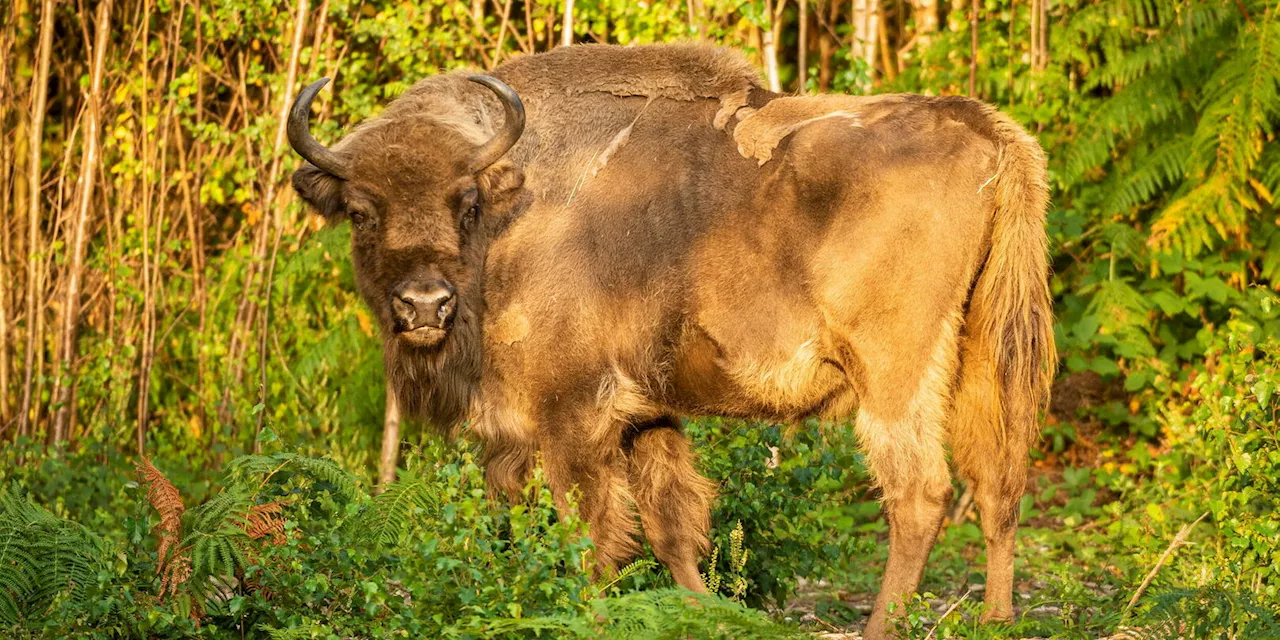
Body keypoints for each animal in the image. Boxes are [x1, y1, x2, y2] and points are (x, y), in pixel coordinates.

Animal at [288, 42, 1049, 637]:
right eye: (361, 211)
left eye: (465, 203)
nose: (423, 305)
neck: (515, 212)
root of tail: (986, 129)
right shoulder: (644, 414)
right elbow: (672, 524)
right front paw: (702, 612)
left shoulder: (571, 416)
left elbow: (589, 534)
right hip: (983, 353)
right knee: (999, 483)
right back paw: (997, 620)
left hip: (894, 374)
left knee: (920, 494)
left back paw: (882, 627)